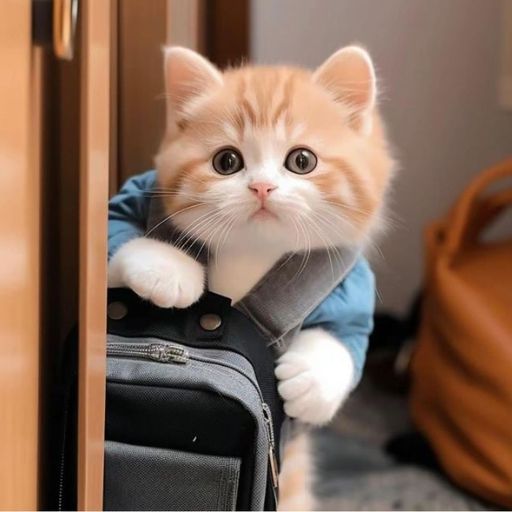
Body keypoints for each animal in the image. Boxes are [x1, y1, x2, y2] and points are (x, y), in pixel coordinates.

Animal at [108, 46, 392, 510]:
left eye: (301, 161)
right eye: (227, 161)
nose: (261, 187)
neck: (253, 253)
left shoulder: (349, 280)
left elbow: (346, 331)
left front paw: (311, 380)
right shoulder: (131, 195)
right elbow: (116, 230)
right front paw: (168, 269)